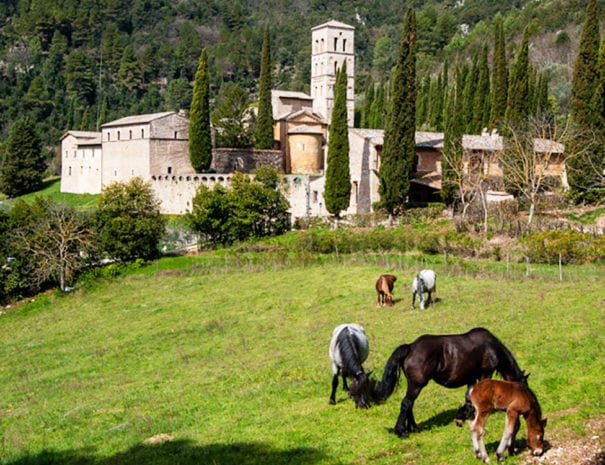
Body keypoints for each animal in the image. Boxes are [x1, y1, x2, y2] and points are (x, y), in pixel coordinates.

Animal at [370, 324, 528, 436]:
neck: (492, 347)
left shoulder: (471, 378)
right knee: (406, 404)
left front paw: (465, 415)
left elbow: (468, 397)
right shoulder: (485, 373)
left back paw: (414, 428)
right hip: (417, 385)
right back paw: (402, 431)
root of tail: (410, 347)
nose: (524, 410)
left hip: (414, 385)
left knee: (409, 405)